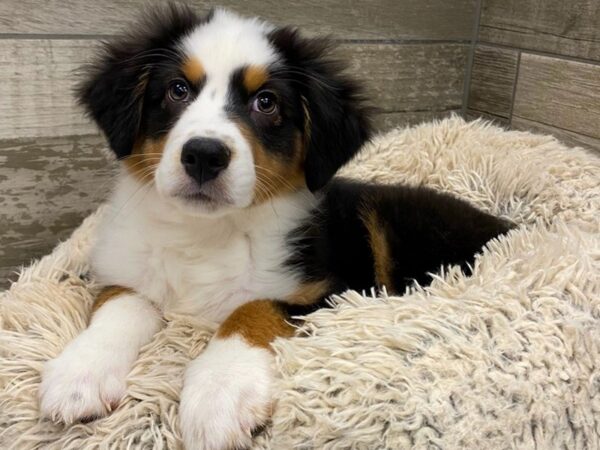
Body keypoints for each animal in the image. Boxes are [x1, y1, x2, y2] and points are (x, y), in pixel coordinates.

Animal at [38, 4, 510, 450]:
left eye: (266, 102)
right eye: (177, 89)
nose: (204, 155)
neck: (205, 233)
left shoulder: (337, 290)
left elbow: (253, 307)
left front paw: (219, 394)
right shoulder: (129, 266)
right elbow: (121, 299)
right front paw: (81, 373)